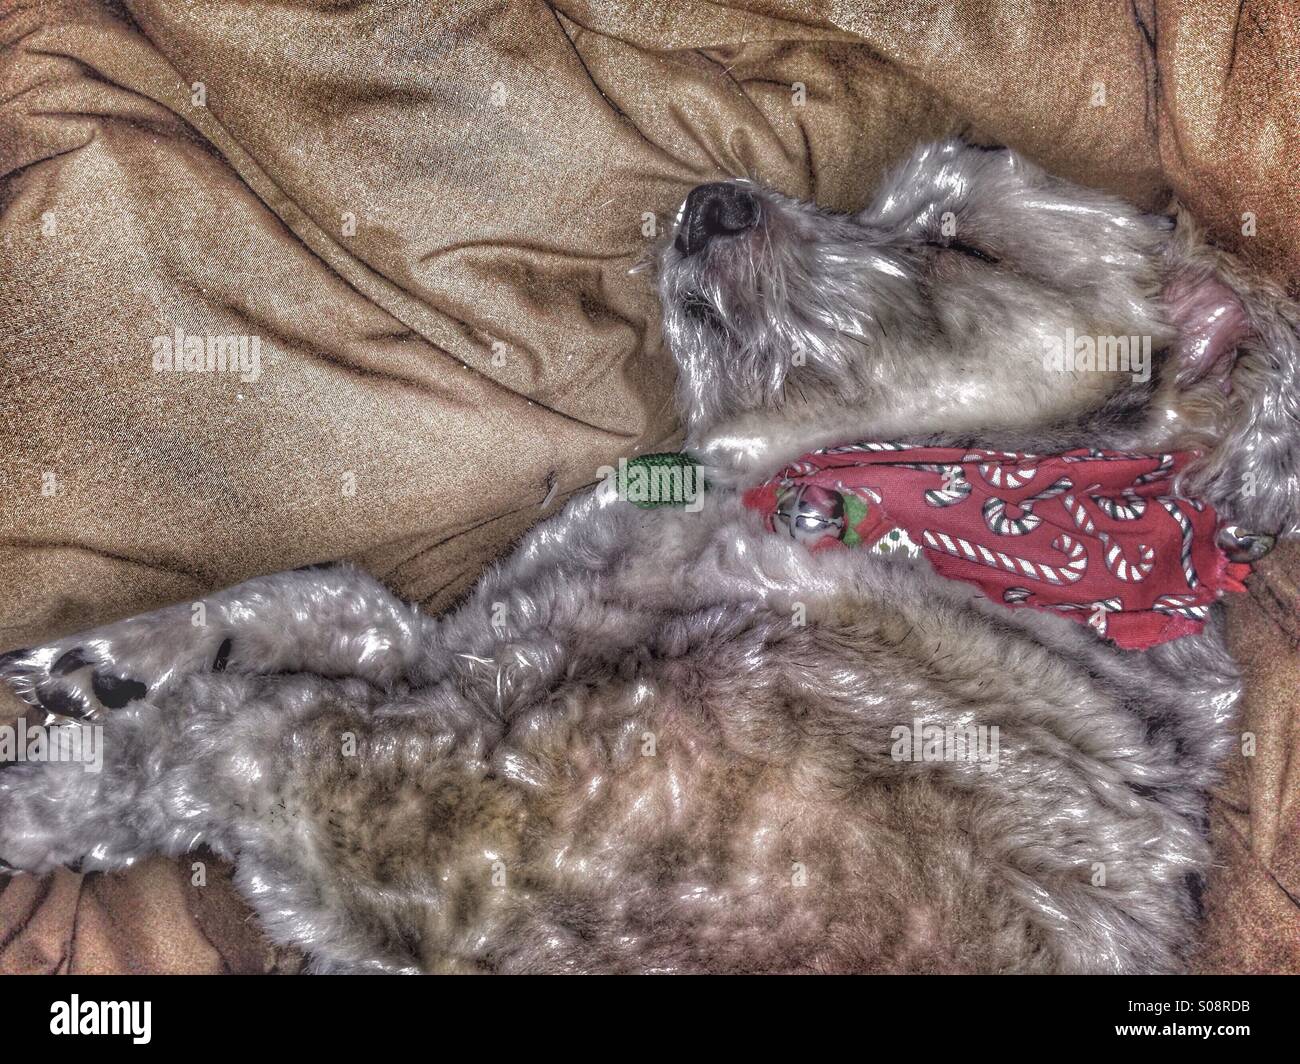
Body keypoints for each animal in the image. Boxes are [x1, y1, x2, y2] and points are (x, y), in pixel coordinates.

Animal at [2, 141, 1300, 967]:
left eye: (959, 246)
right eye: (869, 201)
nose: (713, 201)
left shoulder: (460, 814)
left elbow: (227, 730)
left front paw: (55, 777)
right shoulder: (477, 658)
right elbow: (335, 598)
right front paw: (115, 655)